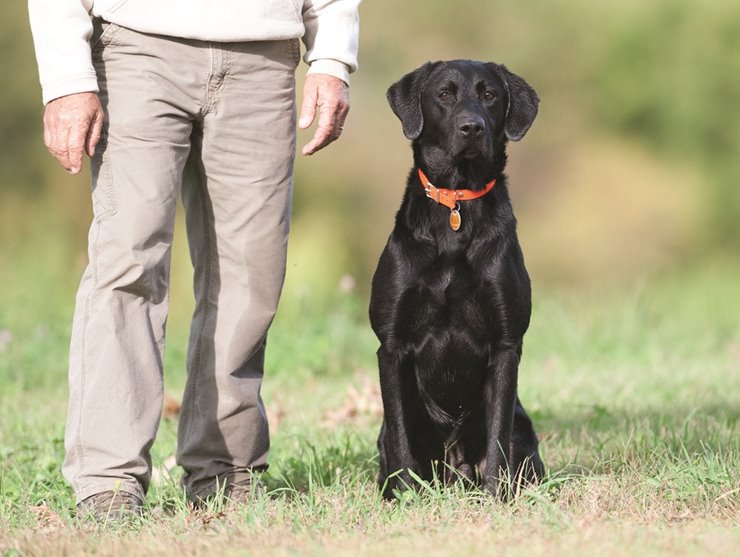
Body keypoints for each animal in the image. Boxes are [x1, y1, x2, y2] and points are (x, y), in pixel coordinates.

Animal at [368, 58, 544, 498]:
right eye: (444, 94)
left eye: (490, 95)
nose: (472, 127)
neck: (456, 203)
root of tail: (453, 470)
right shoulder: (391, 346)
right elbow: (400, 437)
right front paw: (402, 496)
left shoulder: (506, 344)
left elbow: (497, 433)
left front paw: (497, 496)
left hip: (525, 432)